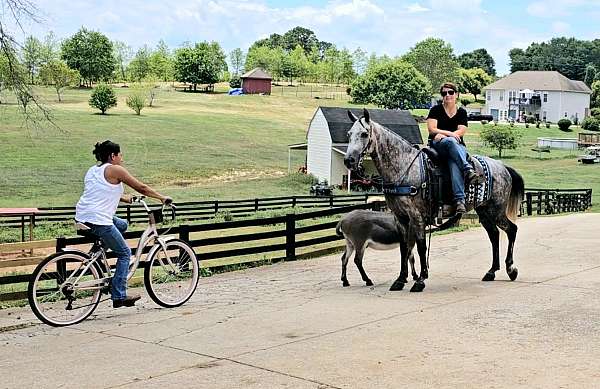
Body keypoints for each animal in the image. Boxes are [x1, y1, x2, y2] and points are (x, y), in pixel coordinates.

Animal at [344, 108, 524, 292]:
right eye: (349, 134)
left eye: (364, 134)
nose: (349, 160)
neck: (404, 167)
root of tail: (502, 167)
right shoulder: (400, 218)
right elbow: (404, 248)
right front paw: (400, 280)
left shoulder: (417, 217)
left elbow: (421, 246)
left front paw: (420, 280)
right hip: (484, 211)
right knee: (494, 235)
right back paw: (492, 271)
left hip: (497, 210)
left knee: (511, 230)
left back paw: (511, 269)